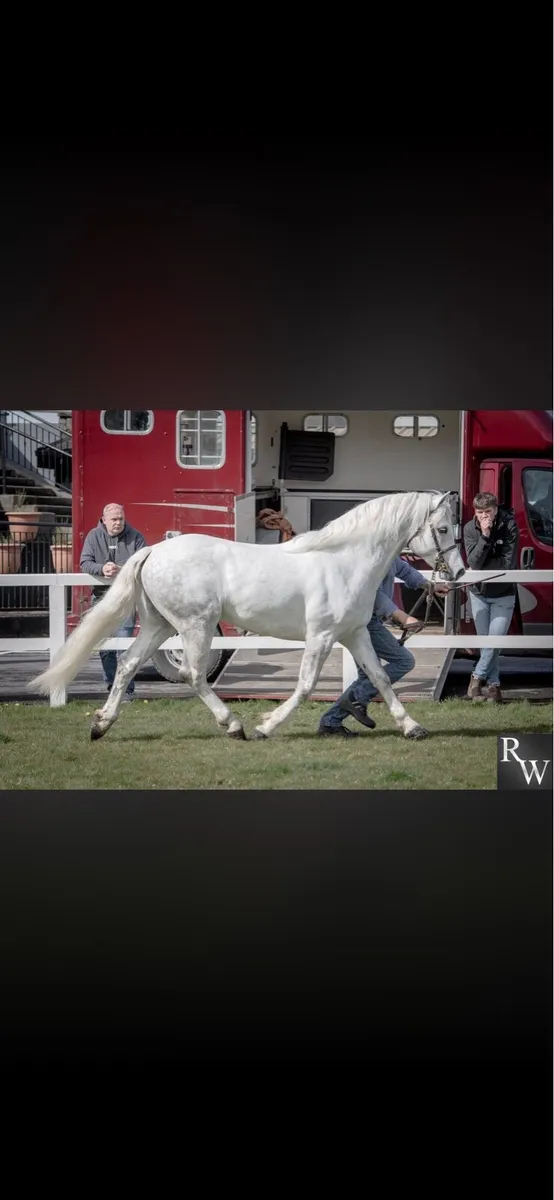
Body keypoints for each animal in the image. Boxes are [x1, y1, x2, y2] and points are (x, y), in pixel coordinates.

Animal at [30, 490, 465, 743]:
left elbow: (379, 677)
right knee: (192, 674)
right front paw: (265, 725)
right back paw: (234, 725)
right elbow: (305, 685)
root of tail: (152, 550)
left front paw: (412, 727)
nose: (458, 573)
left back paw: (101, 724)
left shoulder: (356, 632)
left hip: (159, 625)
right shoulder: (322, 636)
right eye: (444, 528)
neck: (343, 560)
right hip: (196, 626)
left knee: (127, 664)